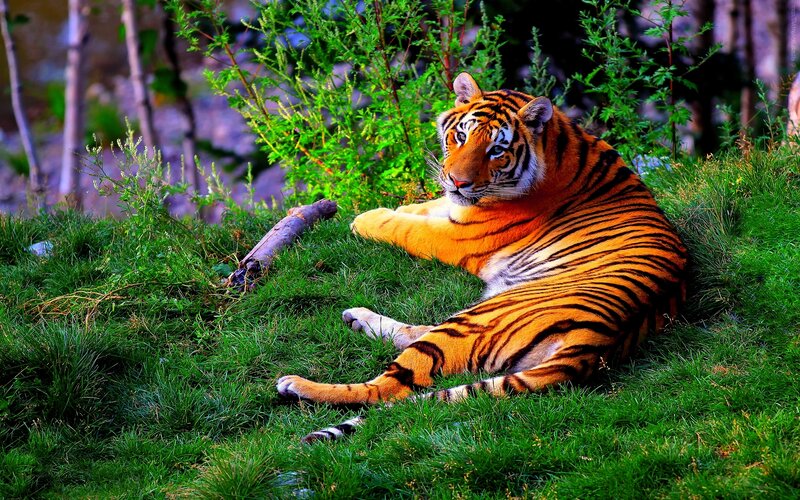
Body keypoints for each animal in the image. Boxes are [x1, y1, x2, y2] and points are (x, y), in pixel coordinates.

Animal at [277, 72, 688, 443]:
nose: (458, 182)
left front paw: (366, 218)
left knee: (388, 388)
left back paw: (296, 384)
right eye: (461, 136)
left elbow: (407, 228)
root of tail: (597, 342)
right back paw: (357, 318)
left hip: (475, 319)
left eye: (496, 150)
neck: (559, 144)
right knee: (418, 337)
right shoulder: (454, 208)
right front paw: (400, 206)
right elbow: (425, 207)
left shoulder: (457, 235)